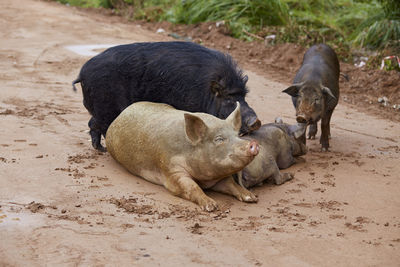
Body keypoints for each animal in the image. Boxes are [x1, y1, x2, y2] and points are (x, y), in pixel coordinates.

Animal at [105, 101, 260, 213]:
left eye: (237, 135)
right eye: (219, 139)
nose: (253, 143)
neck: (205, 179)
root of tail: (120, 115)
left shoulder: (218, 178)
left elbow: (231, 184)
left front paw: (252, 198)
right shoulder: (172, 171)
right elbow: (191, 186)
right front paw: (211, 206)